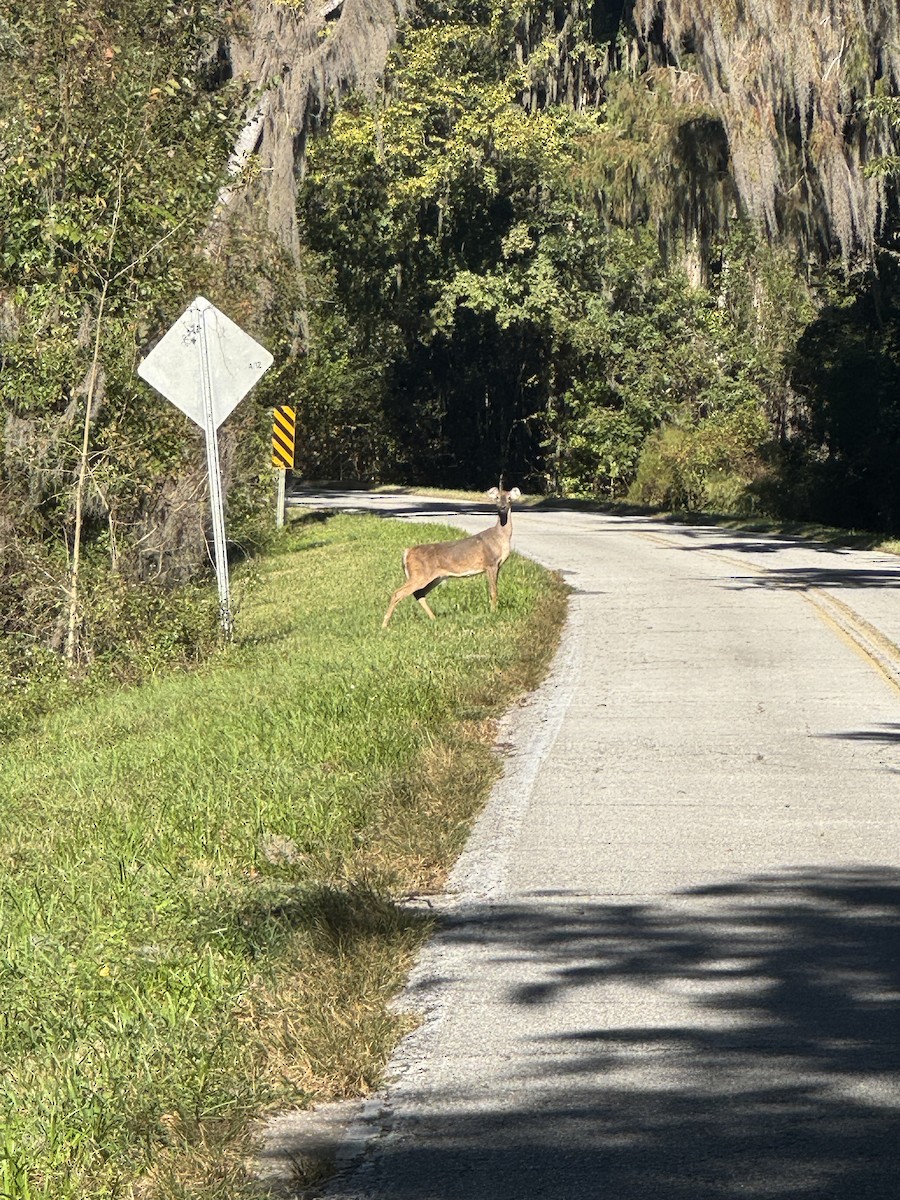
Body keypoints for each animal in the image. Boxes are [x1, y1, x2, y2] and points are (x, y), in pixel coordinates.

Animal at [382, 484, 523, 627]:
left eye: (509, 498)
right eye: (497, 498)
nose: (503, 507)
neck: (500, 537)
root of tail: (407, 552)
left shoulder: (497, 566)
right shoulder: (491, 563)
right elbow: (493, 591)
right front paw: (493, 613)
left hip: (435, 577)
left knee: (418, 593)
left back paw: (434, 618)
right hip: (419, 574)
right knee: (398, 593)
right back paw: (384, 625)